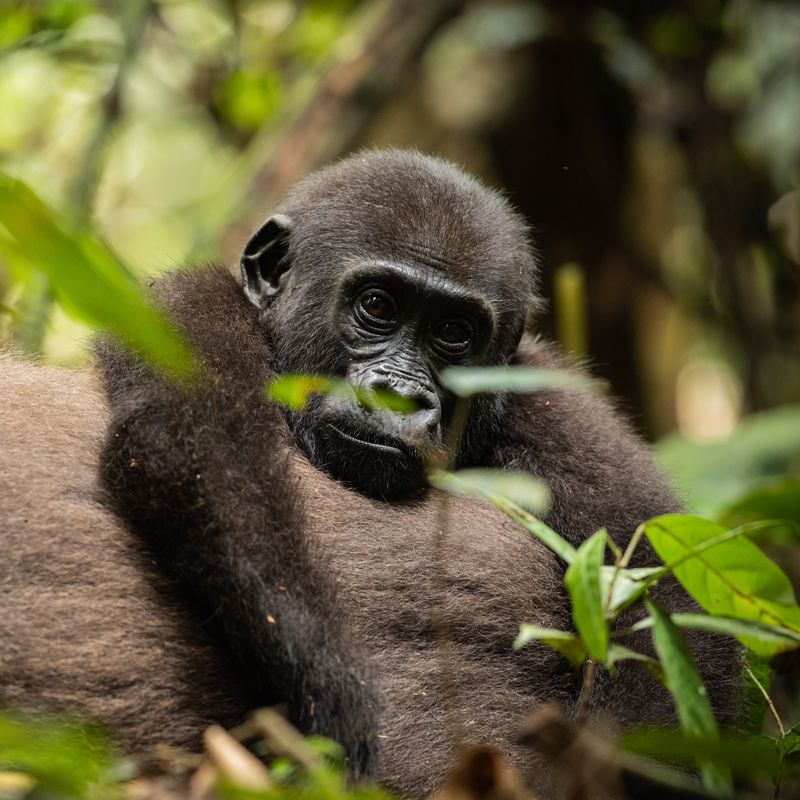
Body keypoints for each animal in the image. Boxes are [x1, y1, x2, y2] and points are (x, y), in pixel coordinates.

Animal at [0, 151, 740, 798]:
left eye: (454, 333)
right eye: (378, 306)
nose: (401, 396)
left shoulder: (557, 403)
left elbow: (666, 617)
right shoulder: (179, 308)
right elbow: (192, 450)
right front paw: (338, 699)